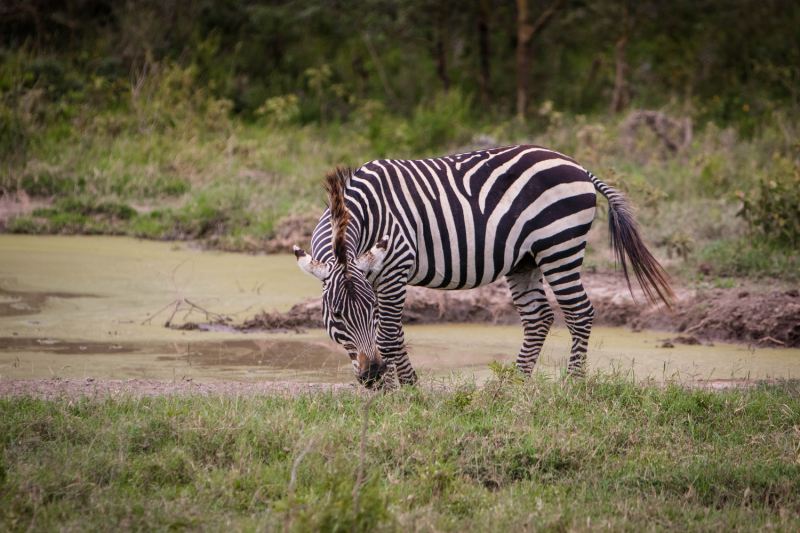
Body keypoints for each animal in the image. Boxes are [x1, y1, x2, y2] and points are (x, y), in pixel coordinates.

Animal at [290, 145, 672, 386]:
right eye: (336, 316)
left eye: (367, 311)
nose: (371, 376)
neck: (363, 215)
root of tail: (578, 166)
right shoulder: (375, 273)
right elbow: (390, 334)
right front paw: (395, 386)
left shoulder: (396, 266)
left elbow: (388, 334)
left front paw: (406, 389)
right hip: (525, 260)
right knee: (539, 318)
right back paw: (513, 386)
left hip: (559, 245)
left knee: (579, 312)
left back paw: (572, 385)